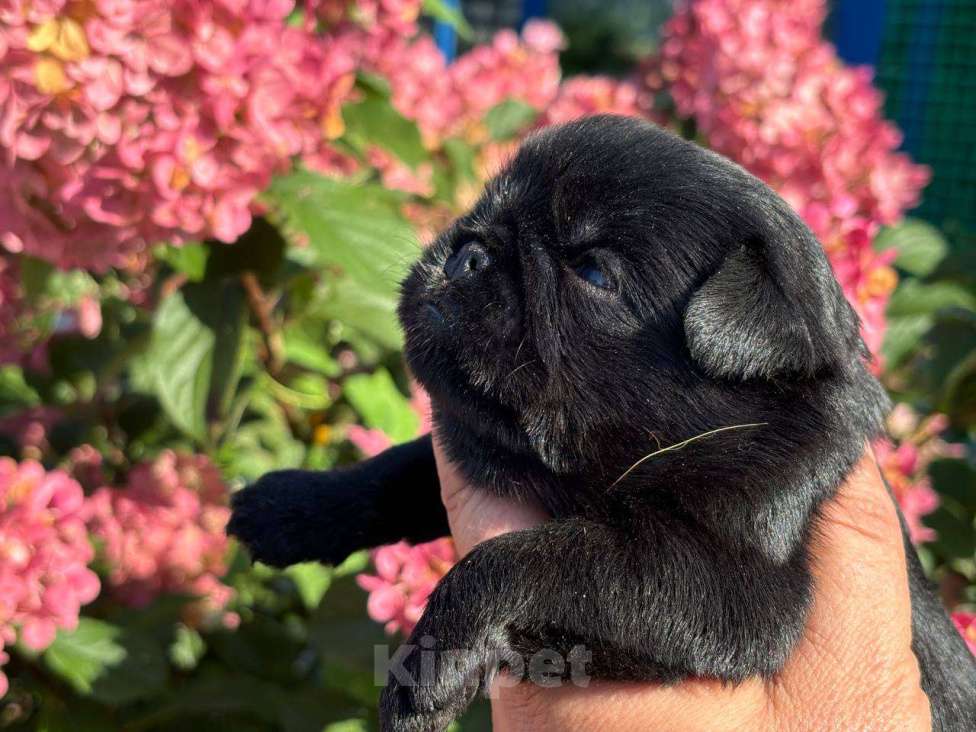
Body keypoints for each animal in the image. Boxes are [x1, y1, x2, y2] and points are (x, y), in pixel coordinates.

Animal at [231, 117, 976, 728]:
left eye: (592, 272)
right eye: (484, 209)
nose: (468, 249)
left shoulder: (737, 594)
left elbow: (529, 558)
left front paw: (431, 662)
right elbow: (400, 469)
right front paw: (293, 504)